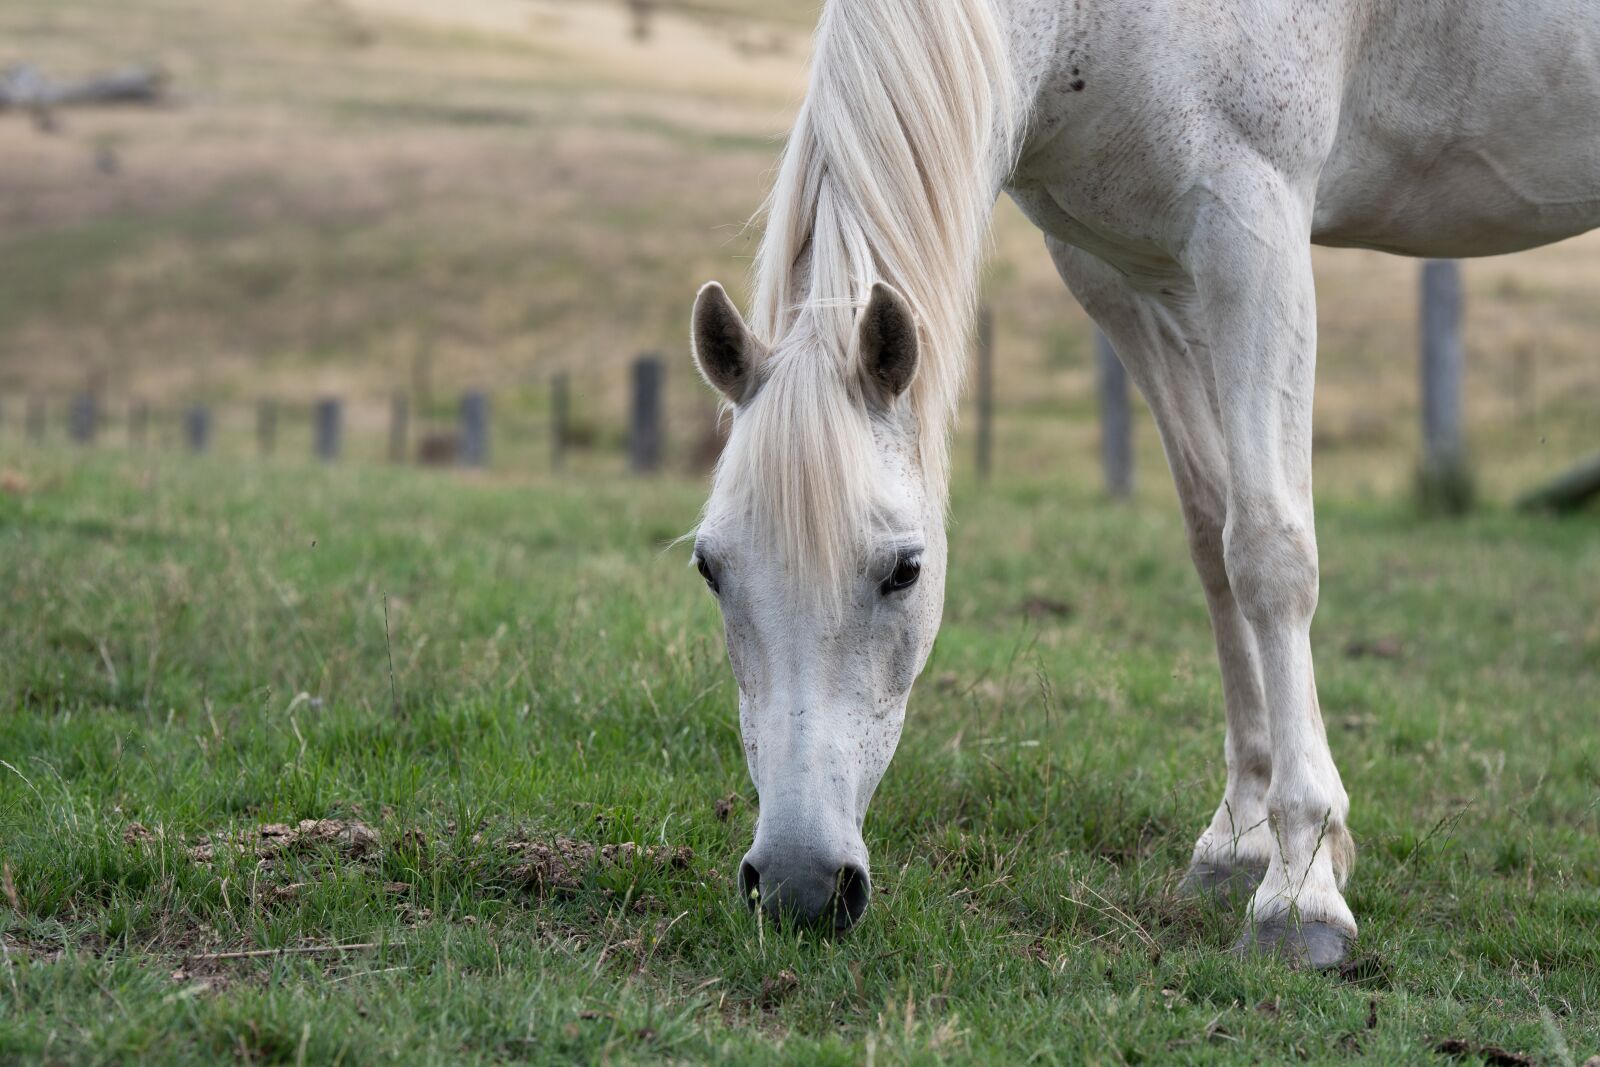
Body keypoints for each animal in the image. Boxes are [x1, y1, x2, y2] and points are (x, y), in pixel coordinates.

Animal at [685, 0, 1600, 967]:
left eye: (905, 570)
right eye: (710, 568)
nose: (796, 885)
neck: (1086, 25)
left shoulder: (1255, 227)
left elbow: (1270, 549)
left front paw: (1300, 889)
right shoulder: (1124, 272)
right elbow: (1213, 533)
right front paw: (1240, 841)